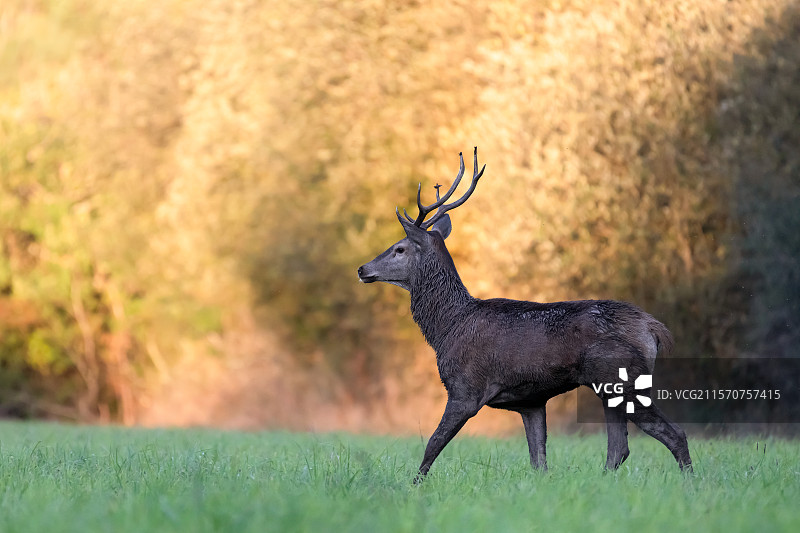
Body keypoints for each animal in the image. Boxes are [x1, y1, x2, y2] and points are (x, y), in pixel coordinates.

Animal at [357, 147, 693, 482]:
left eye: (399, 248)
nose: (362, 269)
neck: (446, 329)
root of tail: (654, 328)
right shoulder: (531, 401)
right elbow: (538, 460)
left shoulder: (466, 388)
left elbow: (432, 444)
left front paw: (413, 486)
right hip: (609, 388)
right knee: (618, 448)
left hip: (621, 377)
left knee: (674, 434)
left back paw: (691, 482)